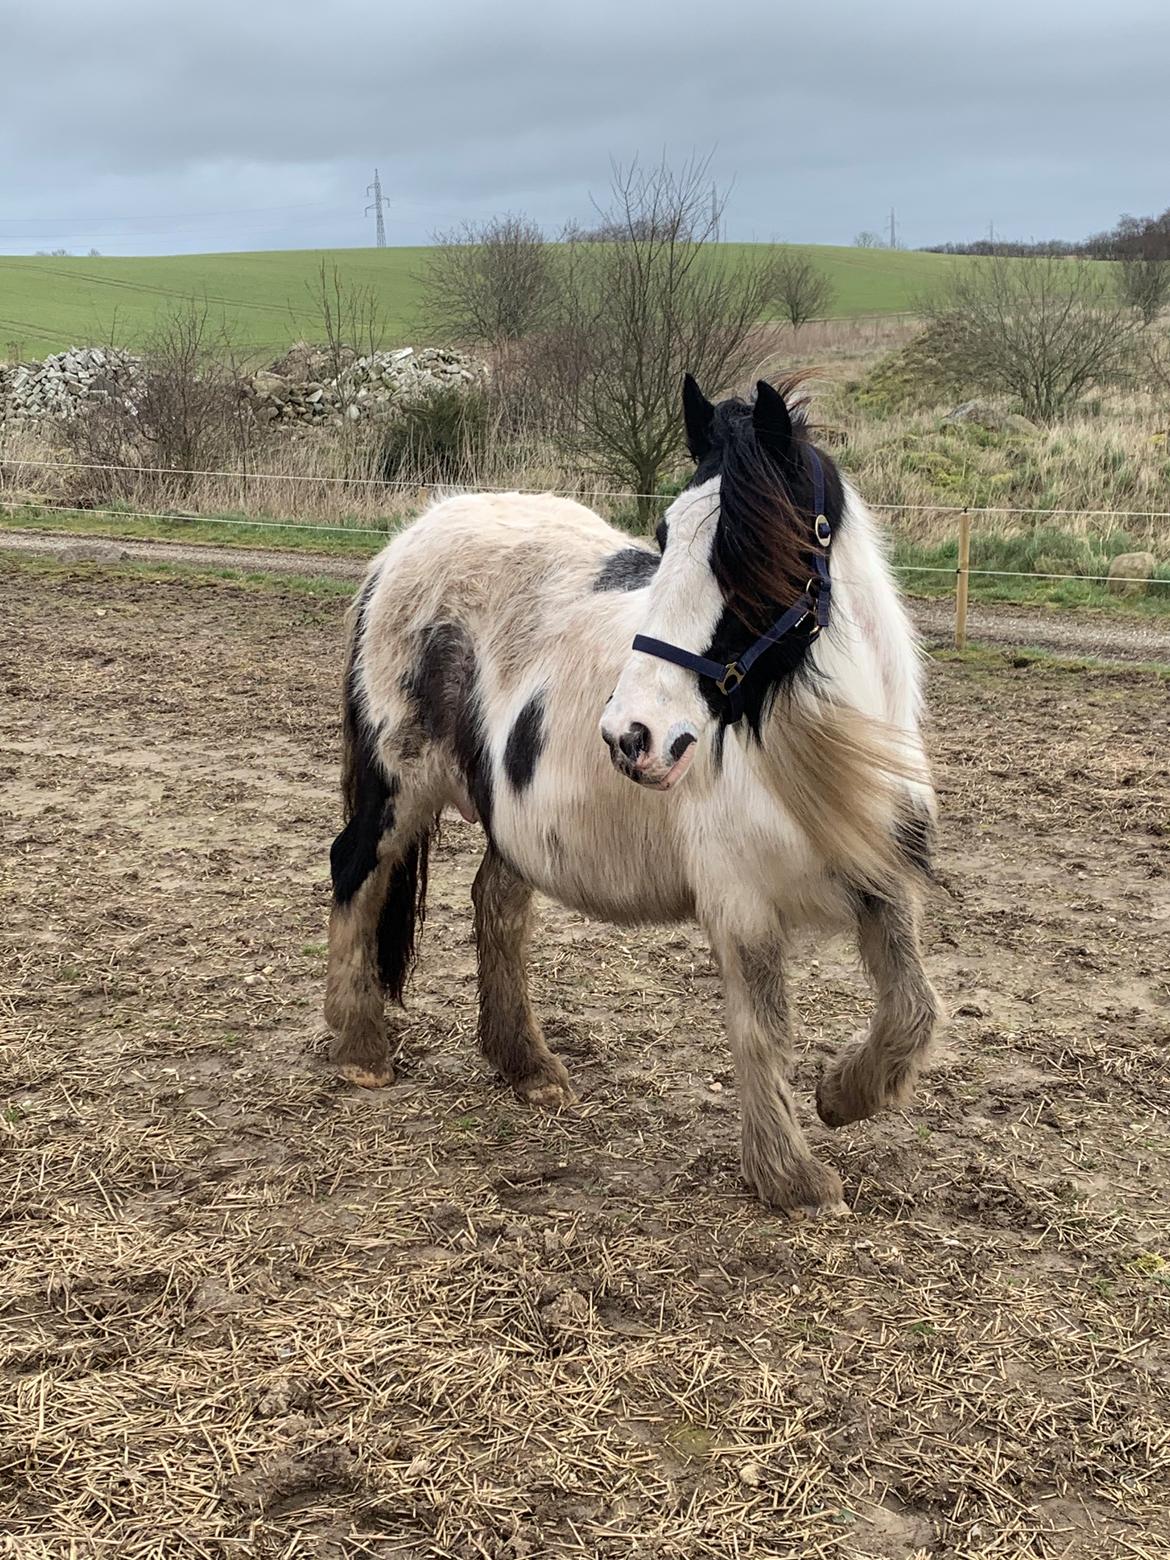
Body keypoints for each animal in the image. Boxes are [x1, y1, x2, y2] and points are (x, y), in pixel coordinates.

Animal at [322, 374, 942, 1216]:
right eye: (665, 533)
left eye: (753, 546)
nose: (631, 735)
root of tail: (407, 541)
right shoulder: (739, 903)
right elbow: (762, 1028)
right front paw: (792, 1178)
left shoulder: (883, 880)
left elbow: (913, 1010)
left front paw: (844, 1096)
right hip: (398, 786)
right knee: (354, 868)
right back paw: (360, 1047)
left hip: (515, 821)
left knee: (496, 905)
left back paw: (527, 1067)